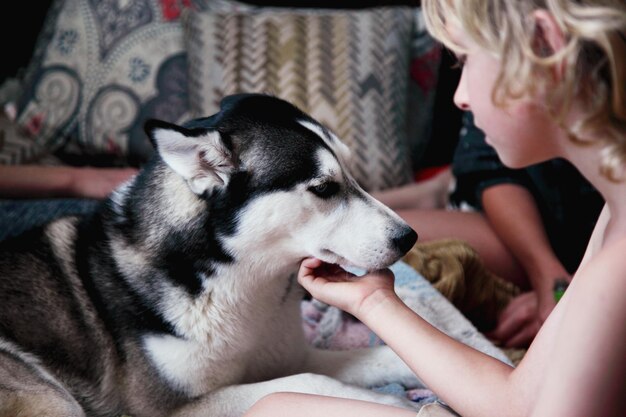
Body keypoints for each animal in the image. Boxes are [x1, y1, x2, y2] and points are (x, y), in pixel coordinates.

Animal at [1, 94, 420, 416]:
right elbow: (304, 383)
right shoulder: (169, 409)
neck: (243, 281)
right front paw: (386, 403)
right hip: (54, 397)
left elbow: (386, 355)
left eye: (352, 171)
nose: (409, 238)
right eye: (323, 188)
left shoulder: (289, 356)